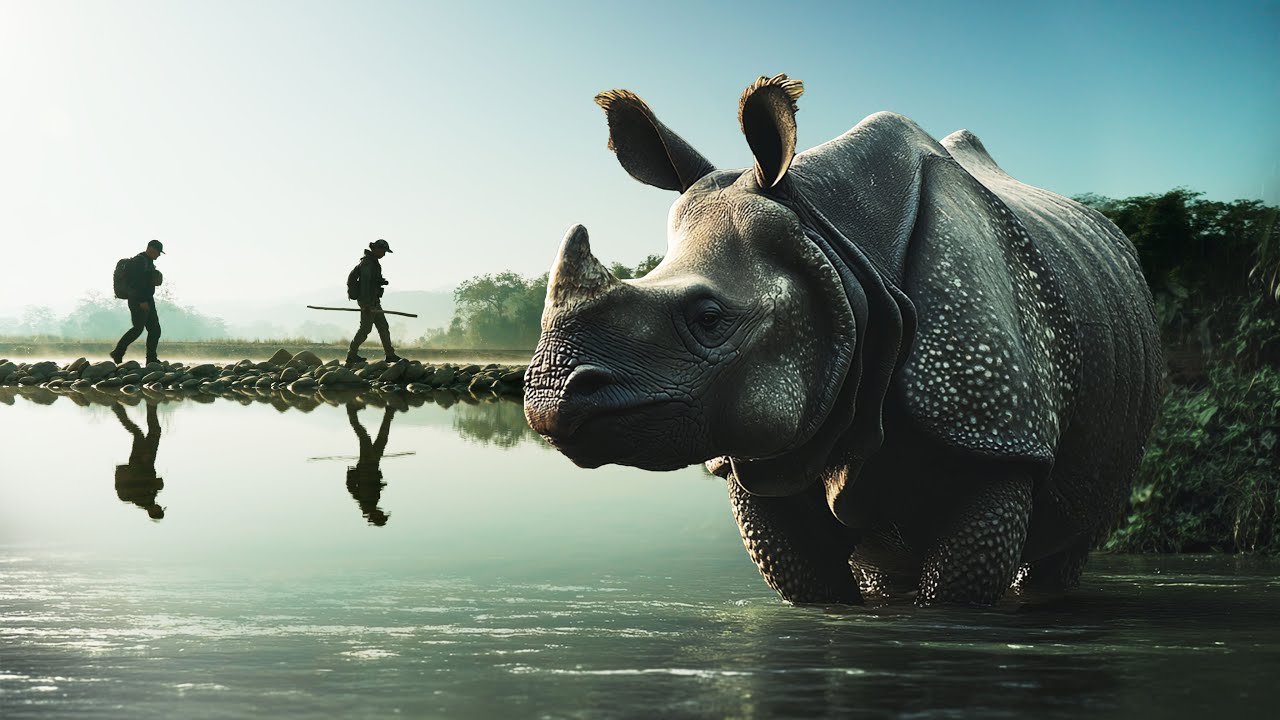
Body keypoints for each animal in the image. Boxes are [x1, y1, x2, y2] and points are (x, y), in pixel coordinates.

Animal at [524, 74, 1163, 607]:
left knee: (1073, 533)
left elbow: (953, 593)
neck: (834, 238)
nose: (551, 398)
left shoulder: (997, 430)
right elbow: (811, 585)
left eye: (709, 318)